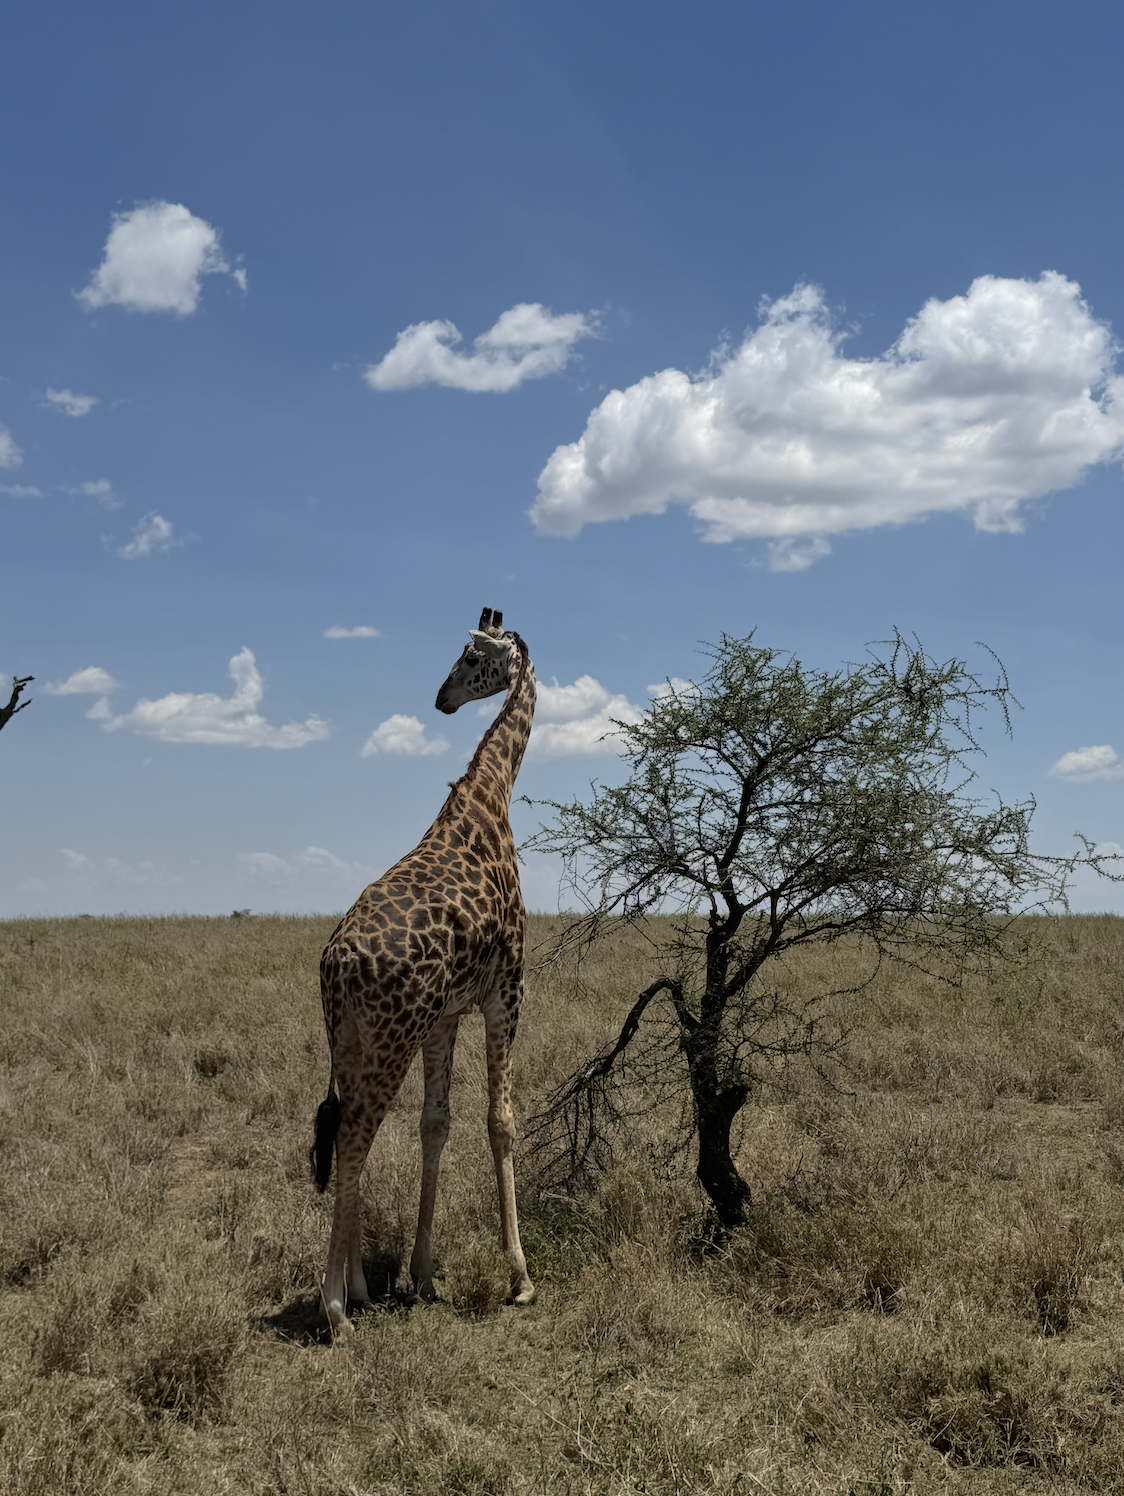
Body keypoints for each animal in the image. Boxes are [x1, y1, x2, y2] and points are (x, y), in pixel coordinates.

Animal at [310, 607, 536, 1331]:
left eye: (471, 659)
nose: (442, 698)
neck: (491, 796)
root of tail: (336, 963)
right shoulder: (507, 989)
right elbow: (500, 1120)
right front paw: (520, 1277)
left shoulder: (445, 1015)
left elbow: (434, 1126)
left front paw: (421, 1273)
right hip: (390, 1037)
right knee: (353, 1140)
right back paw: (335, 1308)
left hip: (354, 1037)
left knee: (348, 1134)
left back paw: (356, 1286)